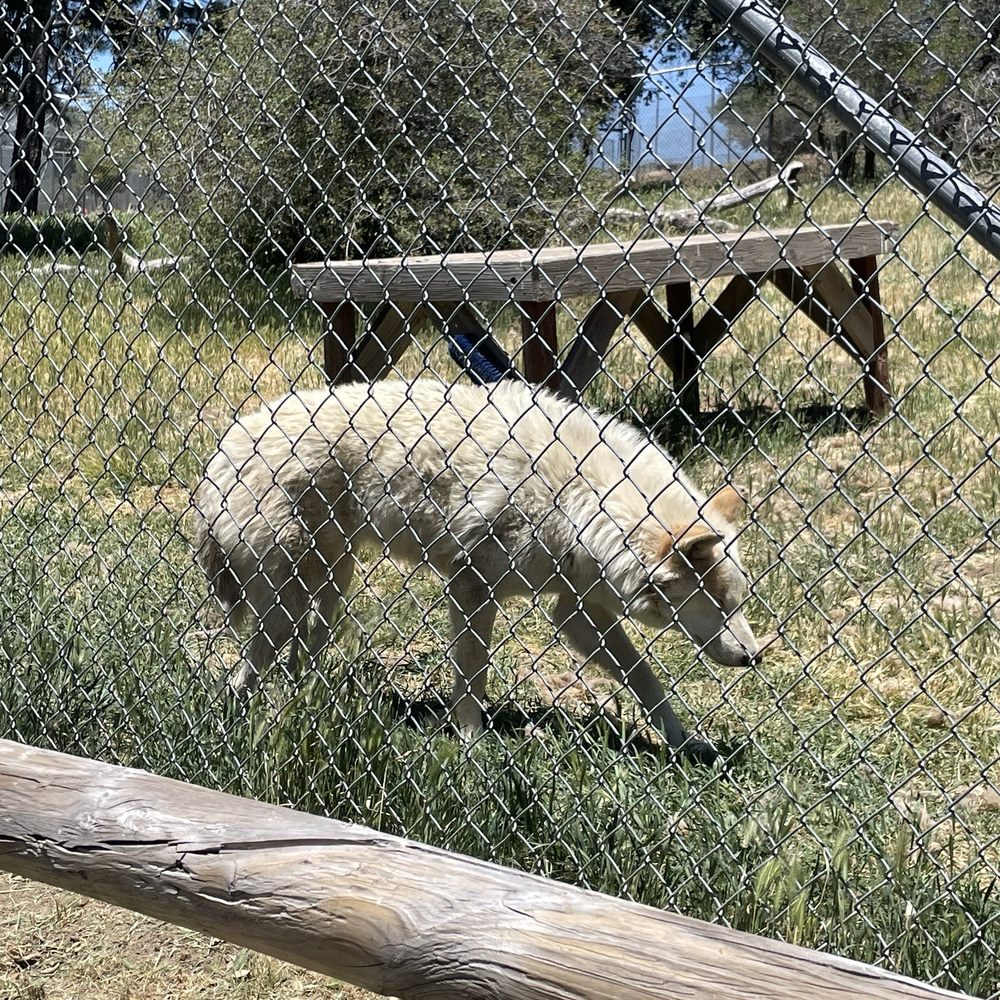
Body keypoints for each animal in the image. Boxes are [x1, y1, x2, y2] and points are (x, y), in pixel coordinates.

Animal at [193, 378, 761, 758]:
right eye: (719, 604)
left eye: (739, 602)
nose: (755, 657)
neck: (584, 500)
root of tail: (224, 446)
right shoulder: (473, 587)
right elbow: (472, 673)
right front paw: (471, 743)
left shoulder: (576, 614)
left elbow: (646, 679)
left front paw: (685, 742)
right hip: (288, 593)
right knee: (249, 666)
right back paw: (239, 718)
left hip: (331, 580)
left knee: (302, 648)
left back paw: (306, 701)